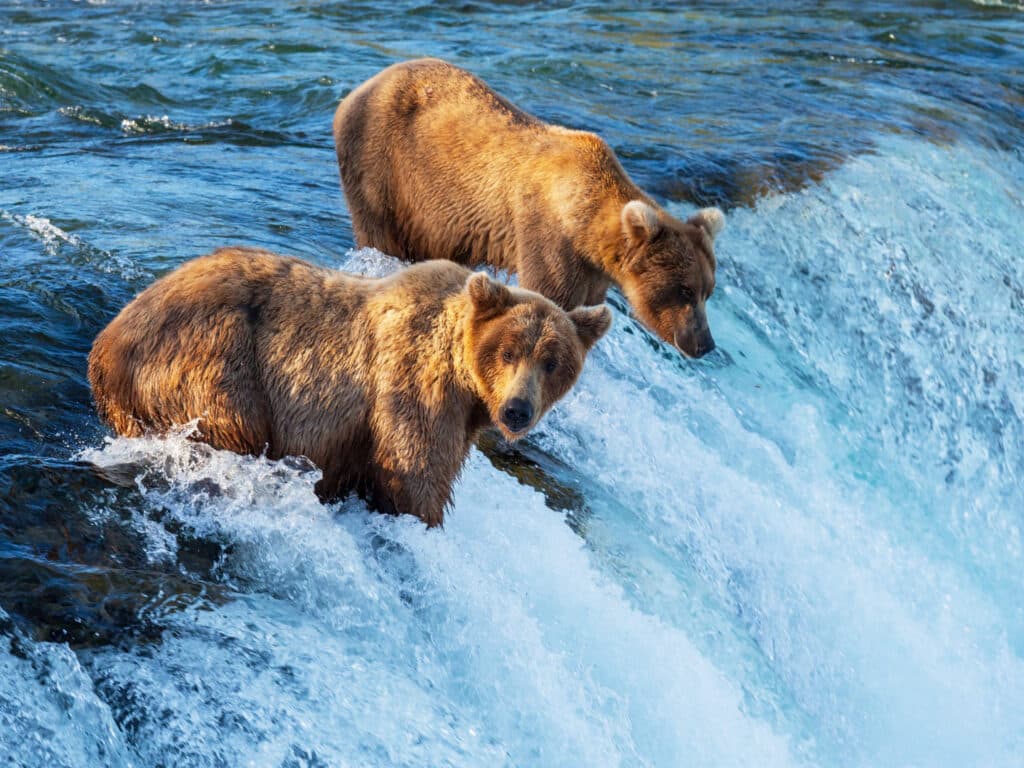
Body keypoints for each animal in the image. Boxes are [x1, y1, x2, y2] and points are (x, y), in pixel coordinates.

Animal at [87, 247, 611, 527]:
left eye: (552, 362)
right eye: (508, 352)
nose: (517, 410)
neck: (466, 382)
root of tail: (105, 345)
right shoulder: (413, 386)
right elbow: (414, 473)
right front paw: (423, 518)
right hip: (212, 359)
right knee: (231, 423)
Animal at [333, 57, 724, 358]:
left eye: (708, 290)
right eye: (684, 290)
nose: (705, 343)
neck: (584, 222)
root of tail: (356, 91)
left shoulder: (592, 271)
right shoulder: (548, 236)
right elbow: (549, 294)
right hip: (384, 166)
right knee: (380, 232)